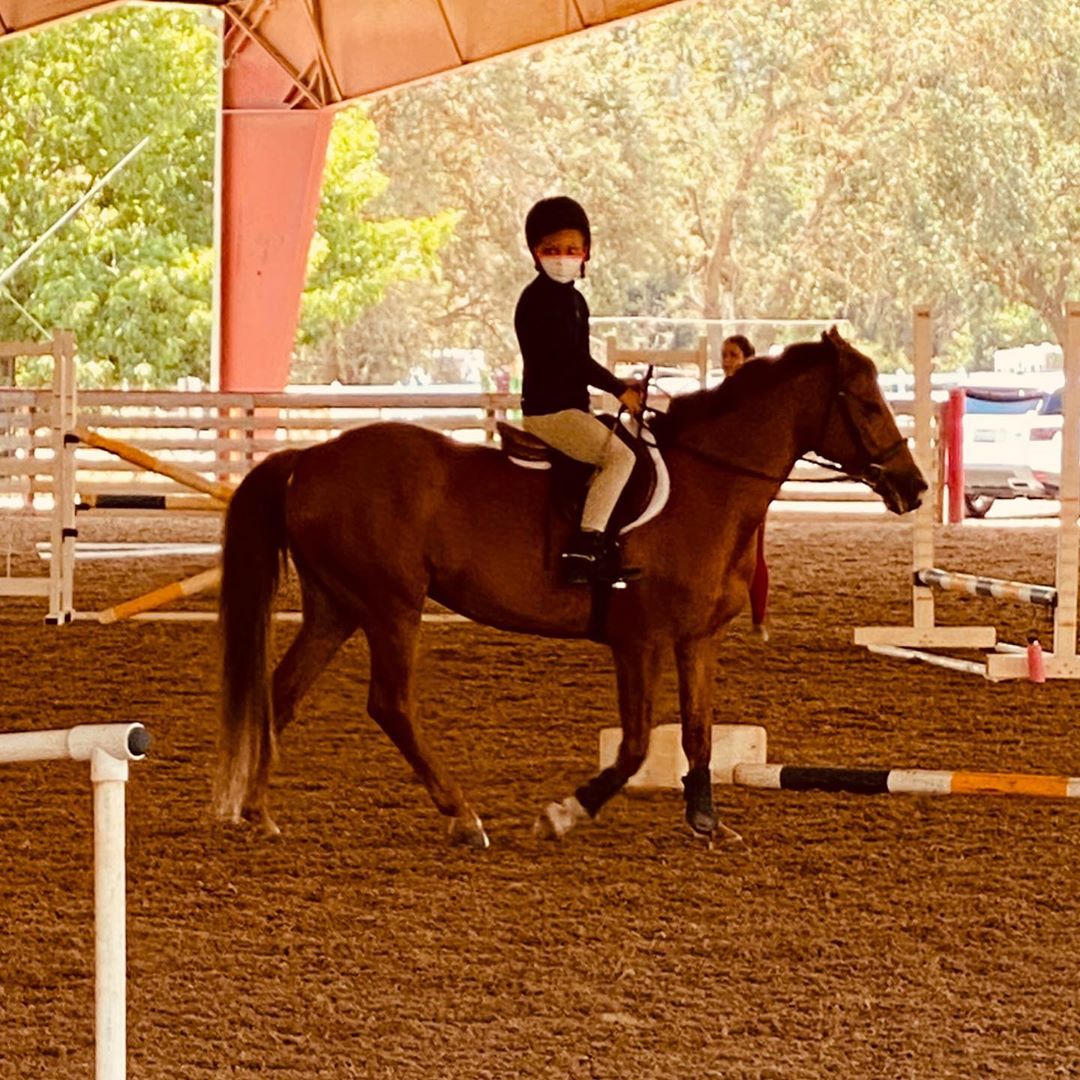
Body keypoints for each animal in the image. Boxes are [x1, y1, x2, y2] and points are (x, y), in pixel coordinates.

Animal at [214, 324, 924, 846]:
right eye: (867, 403)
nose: (914, 488)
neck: (708, 485)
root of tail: (308, 459)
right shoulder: (639, 641)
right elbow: (636, 746)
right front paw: (562, 813)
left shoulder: (698, 640)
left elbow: (698, 732)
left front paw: (706, 821)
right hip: (392, 607)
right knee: (390, 705)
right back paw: (462, 815)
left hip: (337, 606)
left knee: (281, 691)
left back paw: (258, 811)